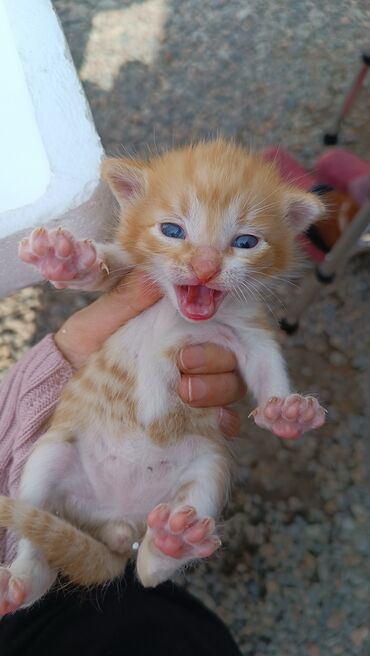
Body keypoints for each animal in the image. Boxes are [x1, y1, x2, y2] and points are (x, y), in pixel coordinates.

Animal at [0, 140, 326, 616]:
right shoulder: (127, 275)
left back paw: (173, 543)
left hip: (208, 468)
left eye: (246, 242)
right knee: (38, 548)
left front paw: (287, 412)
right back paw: (20, 580)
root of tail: (119, 522)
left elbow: (267, 362)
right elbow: (104, 267)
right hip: (49, 454)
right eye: (172, 230)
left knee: (150, 571)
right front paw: (66, 258)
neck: (177, 308)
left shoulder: (247, 328)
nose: (205, 268)